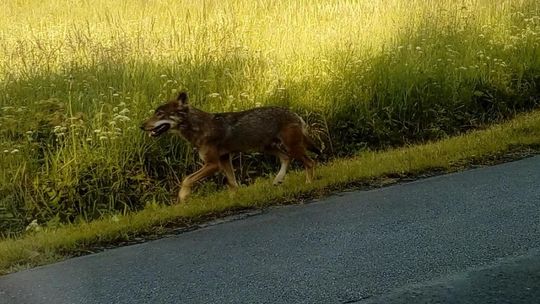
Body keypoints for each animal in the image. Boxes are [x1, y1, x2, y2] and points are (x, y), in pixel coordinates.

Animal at [140, 91, 316, 203]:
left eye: (160, 114)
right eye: (155, 113)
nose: (141, 126)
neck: (199, 128)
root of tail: (295, 114)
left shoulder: (213, 164)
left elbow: (187, 179)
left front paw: (183, 197)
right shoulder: (224, 159)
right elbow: (232, 184)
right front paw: (234, 200)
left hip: (291, 147)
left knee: (309, 162)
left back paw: (308, 183)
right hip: (266, 148)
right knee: (286, 158)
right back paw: (278, 180)